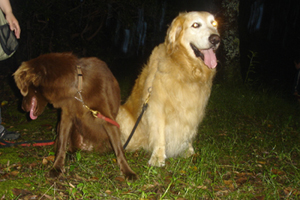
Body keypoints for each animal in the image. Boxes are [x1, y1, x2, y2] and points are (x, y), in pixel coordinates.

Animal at [13, 52, 137, 180]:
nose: (22, 107)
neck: (78, 88)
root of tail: (87, 148)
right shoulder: (66, 116)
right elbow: (61, 144)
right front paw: (57, 167)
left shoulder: (107, 118)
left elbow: (119, 149)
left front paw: (128, 171)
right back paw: (71, 154)